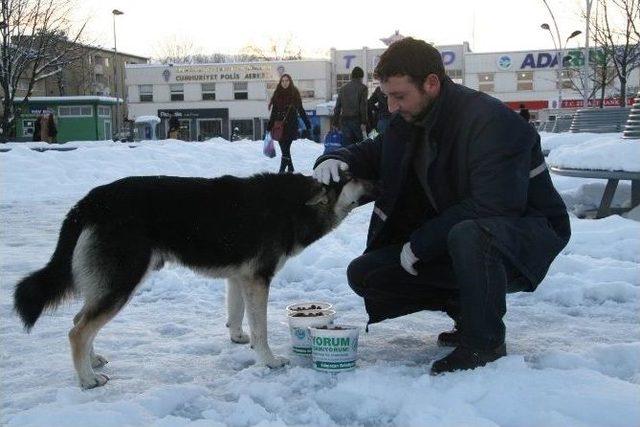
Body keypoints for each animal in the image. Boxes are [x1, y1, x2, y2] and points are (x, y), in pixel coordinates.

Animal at [13, 172, 376, 390]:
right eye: (351, 177)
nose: (377, 176)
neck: (293, 206)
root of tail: (88, 203)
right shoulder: (258, 278)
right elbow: (261, 329)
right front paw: (269, 361)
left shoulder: (240, 277)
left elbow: (236, 313)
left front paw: (237, 338)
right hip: (122, 283)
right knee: (78, 330)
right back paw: (88, 379)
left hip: (110, 285)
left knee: (80, 320)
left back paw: (92, 360)